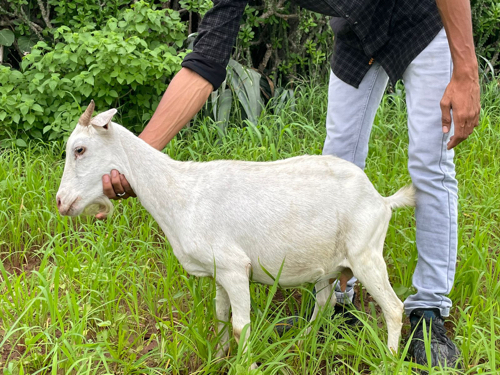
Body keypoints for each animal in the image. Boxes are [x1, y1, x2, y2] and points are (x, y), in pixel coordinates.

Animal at [55, 101, 414, 366]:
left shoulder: (234, 267)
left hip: (366, 254)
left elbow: (242, 326)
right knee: (325, 303)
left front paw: (248, 365)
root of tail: (382, 200)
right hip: (328, 263)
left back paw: (388, 360)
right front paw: (217, 358)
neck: (182, 193)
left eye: (80, 150)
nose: (60, 202)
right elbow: (220, 315)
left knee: (394, 308)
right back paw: (301, 343)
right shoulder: (218, 272)